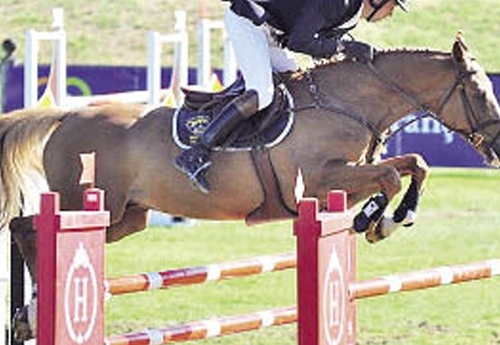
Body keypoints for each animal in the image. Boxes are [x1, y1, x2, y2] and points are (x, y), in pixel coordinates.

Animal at [3, 35, 500, 338]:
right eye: (479, 91)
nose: (496, 146)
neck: (347, 103)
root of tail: (67, 115)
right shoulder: (318, 181)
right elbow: (395, 173)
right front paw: (377, 222)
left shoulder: (346, 177)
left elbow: (412, 165)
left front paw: (383, 218)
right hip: (82, 206)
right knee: (27, 227)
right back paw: (34, 311)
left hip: (127, 216)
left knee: (28, 227)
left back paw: (27, 316)